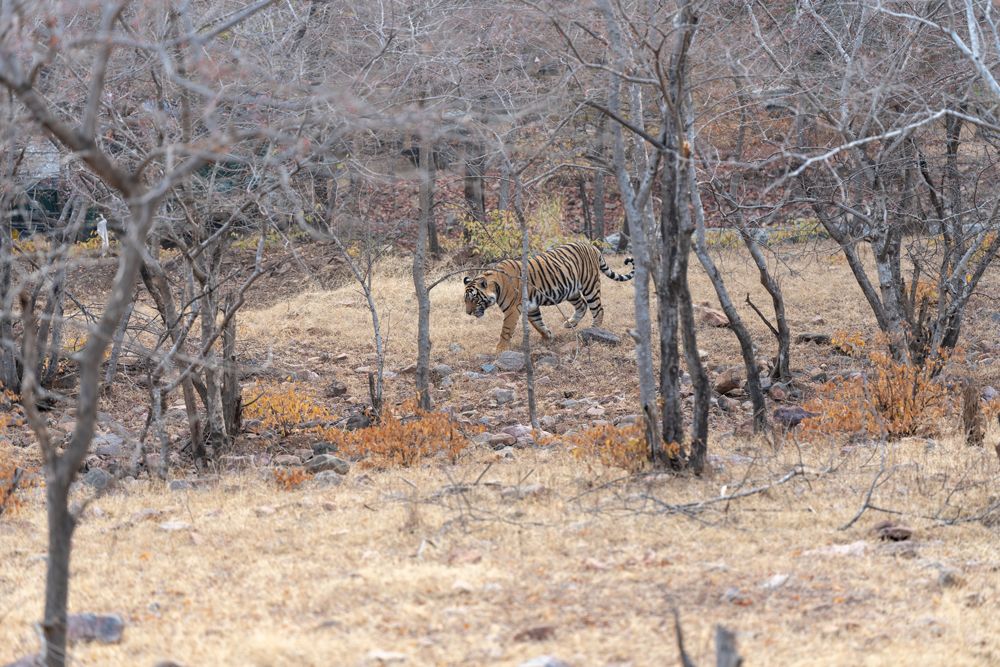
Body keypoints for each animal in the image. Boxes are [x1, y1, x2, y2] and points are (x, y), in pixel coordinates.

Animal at [462, 241, 632, 354]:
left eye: (474, 299)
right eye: (465, 300)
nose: (468, 313)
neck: (497, 284)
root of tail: (592, 246)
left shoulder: (512, 310)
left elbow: (506, 330)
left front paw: (500, 349)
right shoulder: (531, 307)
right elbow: (538, 323)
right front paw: (547, 337)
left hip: (589, 285)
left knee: (598, 309)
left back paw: (594, 329)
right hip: (571, 290)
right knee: (582, 305)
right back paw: (571, 323)